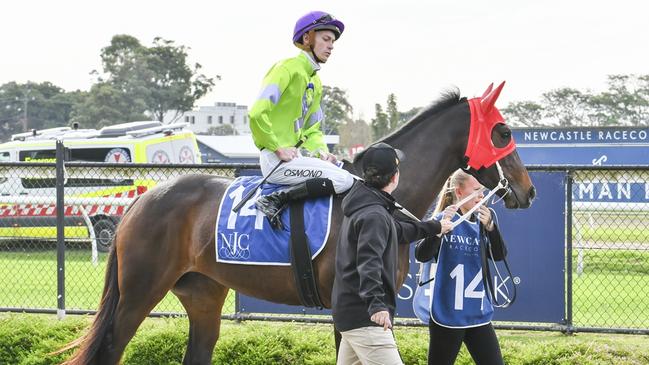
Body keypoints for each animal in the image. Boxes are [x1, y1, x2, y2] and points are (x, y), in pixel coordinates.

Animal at [63, 84, 536, 362]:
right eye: (502, 132)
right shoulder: (351, 309)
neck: (378, 197)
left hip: (202, 294)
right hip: (140, 292)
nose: (527, 189)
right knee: (110, 347)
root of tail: (141, 202)